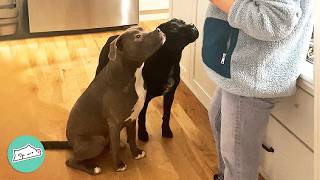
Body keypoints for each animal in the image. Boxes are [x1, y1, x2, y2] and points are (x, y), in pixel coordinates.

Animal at [64, 26, 166, 174]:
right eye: (137, 36)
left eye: (142, 29)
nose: (158, 30)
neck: (131, 73)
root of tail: (70, 143)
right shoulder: (114, 123)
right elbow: (116, 148)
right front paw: (118, 165)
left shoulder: (132, 118)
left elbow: (132, 138)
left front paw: (136, 153)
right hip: (97, 140)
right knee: (71, 161)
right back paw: (93, 168)